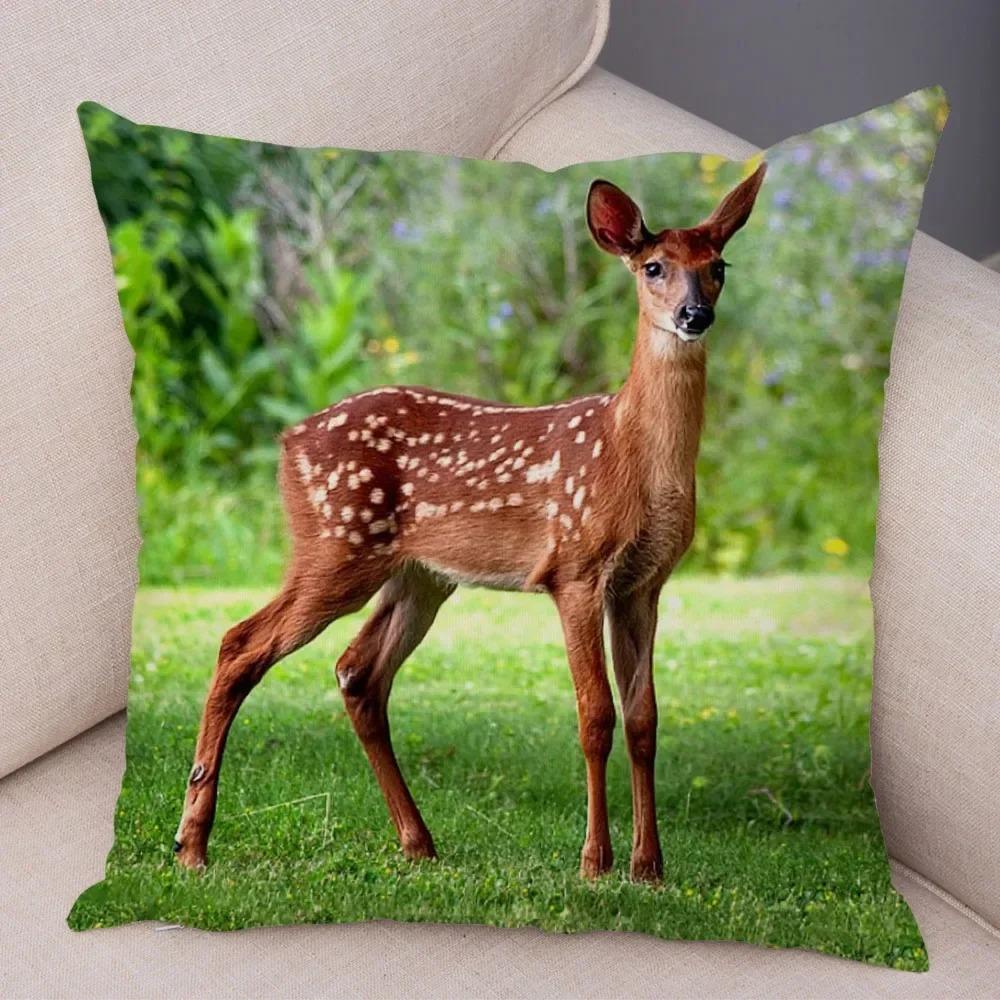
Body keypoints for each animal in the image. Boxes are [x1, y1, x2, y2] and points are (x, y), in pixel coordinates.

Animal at [173, 163, 767, 882]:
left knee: (357, 672)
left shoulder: (644, 582)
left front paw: (649, 867)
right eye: (653, 266)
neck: (632, 456)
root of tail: (286, 442)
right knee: (240, 644)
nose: (694, 315)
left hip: (419, 576)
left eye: (719, 266)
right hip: (336, 546)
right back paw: (192, 844)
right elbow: (595, 715)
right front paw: (594, 862)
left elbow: (645, 720)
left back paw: (418, 842)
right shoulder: (574, 565)